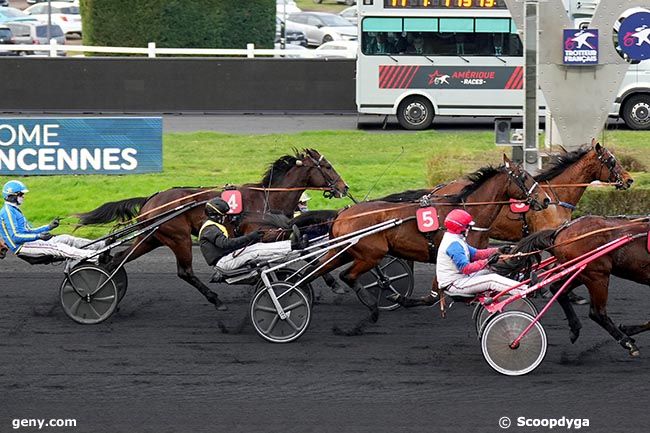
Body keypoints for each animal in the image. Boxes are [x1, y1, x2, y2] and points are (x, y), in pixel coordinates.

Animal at [74, 148, 350, 308]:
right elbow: (304, 254)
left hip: (152, 237)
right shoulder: (264, 233)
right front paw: (333, 283)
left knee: (117, 260)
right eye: (327, 167)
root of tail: (151, 199)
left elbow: (301, 252)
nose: (344, 187)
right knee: (185, 272)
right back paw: (215, 300)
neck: (268, 198)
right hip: (178, 237)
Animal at [314, 156, 548, 320]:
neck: (468, 214)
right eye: (524, 177)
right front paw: (400, 298)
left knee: (317, 269)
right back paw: (371, 304)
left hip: (342, 252)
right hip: (371, 254)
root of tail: (343, 213)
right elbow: (432, 296)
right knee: (347, 275)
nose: (545, 199)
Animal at [502, 215, 648, 354]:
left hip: (581, 272)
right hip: (596, 275)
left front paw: (628, 329)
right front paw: (627, 332)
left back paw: (575, 328)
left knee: (557, 288)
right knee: (597, 313)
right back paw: (626, 342)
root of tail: (559, 233)